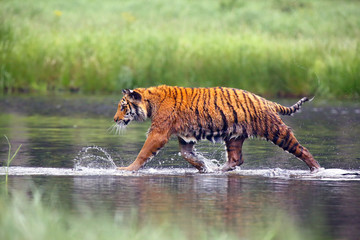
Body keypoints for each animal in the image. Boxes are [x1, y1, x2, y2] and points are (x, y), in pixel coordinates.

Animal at [113, 85, 320, 172]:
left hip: (275, 130)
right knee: (236, 159)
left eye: (123, 107)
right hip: (234, 136)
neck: (150, 101)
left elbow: (143, 153)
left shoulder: (158, 133)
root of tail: (266, 100)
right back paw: (219, 170)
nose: (115, 119)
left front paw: (127, 169)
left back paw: (318, 170)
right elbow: (187, 155)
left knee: (302, 149)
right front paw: (204, 167)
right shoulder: (184, 137)